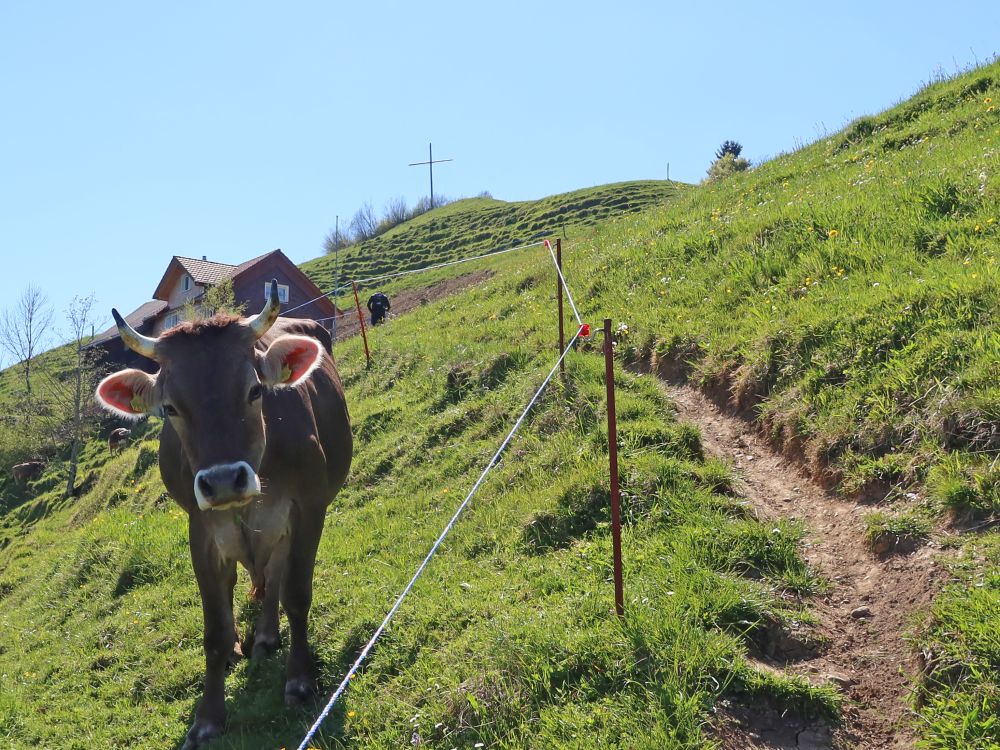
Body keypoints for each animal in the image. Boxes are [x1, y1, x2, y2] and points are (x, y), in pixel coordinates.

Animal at [94, 281, 352, 748]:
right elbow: (214, 628)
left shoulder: (308, 507)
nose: (224, 481)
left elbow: (296, 594)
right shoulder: (201, 529)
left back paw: (266, 636)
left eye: (254, 390)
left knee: (276, 576)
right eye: (170, 408)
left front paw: (300, 680)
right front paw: (208, 718)